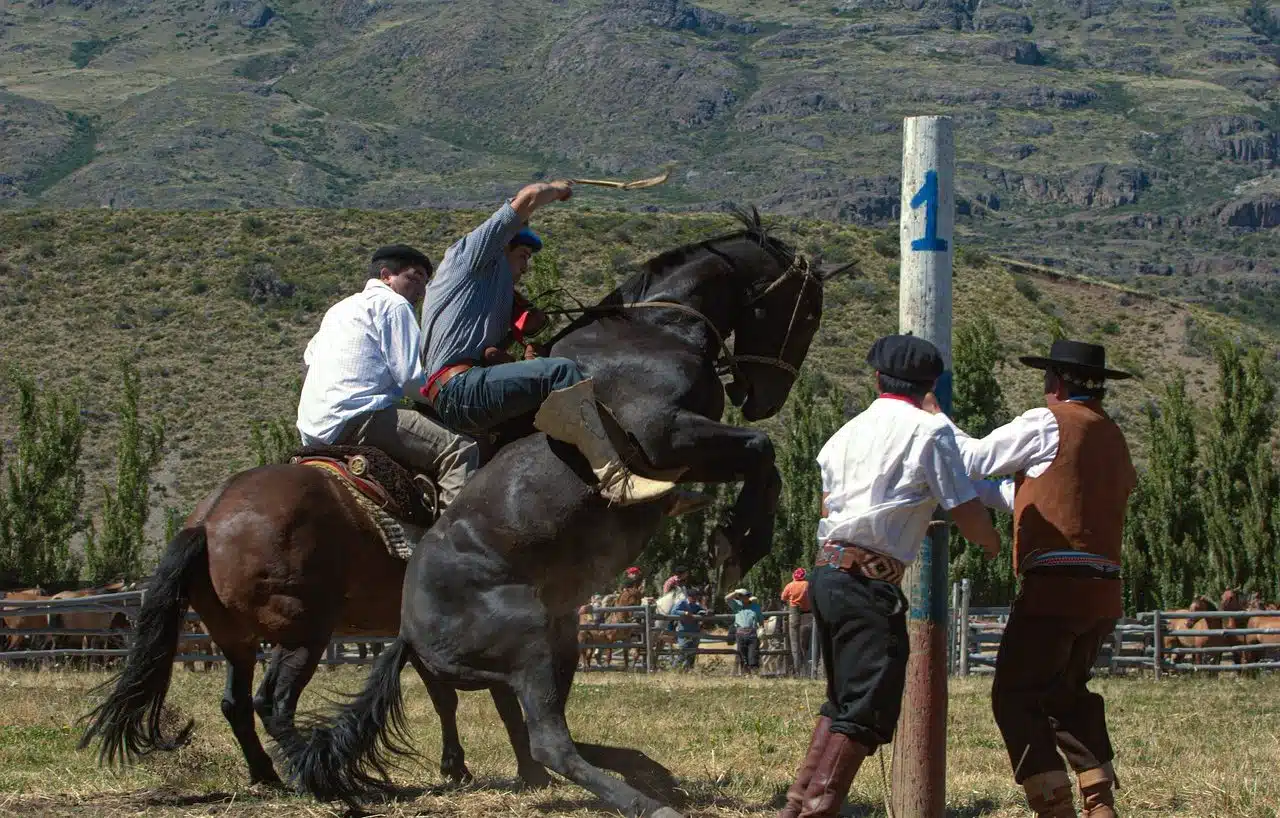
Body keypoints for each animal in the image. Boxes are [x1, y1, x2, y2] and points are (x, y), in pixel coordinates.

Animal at [78, 465, 550, 793]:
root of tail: (207, 523)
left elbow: (444, 700)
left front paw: (457, 768)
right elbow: (502, 700)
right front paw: (532, 771)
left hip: (238, 642)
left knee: (236, 704)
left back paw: (268, 775)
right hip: (304, 638)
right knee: (273, 702)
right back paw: (317, 773)